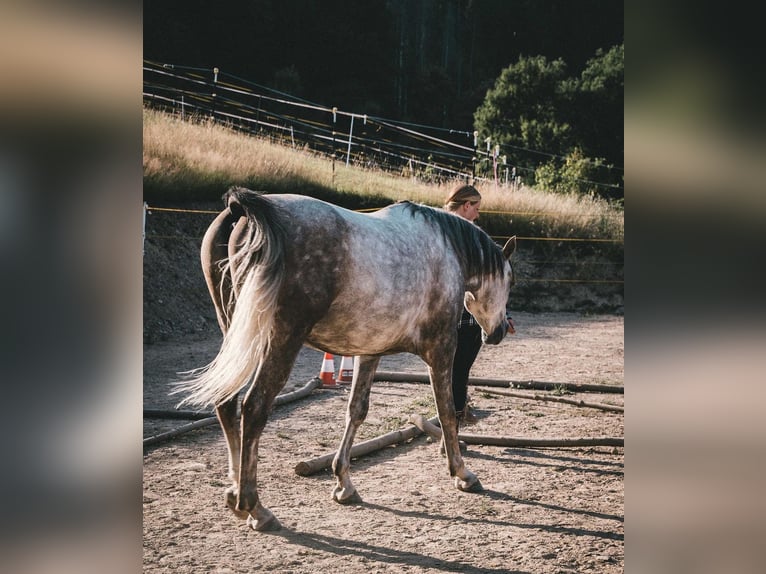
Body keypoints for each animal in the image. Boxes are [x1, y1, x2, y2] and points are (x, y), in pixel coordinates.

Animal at [177, 189, 520, 536]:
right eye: (511, 281)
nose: (499, 331)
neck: (447, 250)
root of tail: (245, 211)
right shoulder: (442, 350)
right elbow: (448, 411)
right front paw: (462, 473)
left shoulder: (368, 353)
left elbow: (356, 411)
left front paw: (344, 482)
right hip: (280, 340)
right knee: (254, 406)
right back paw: (255, 507)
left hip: (236, 335)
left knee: (227, 403)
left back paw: (235, 493)